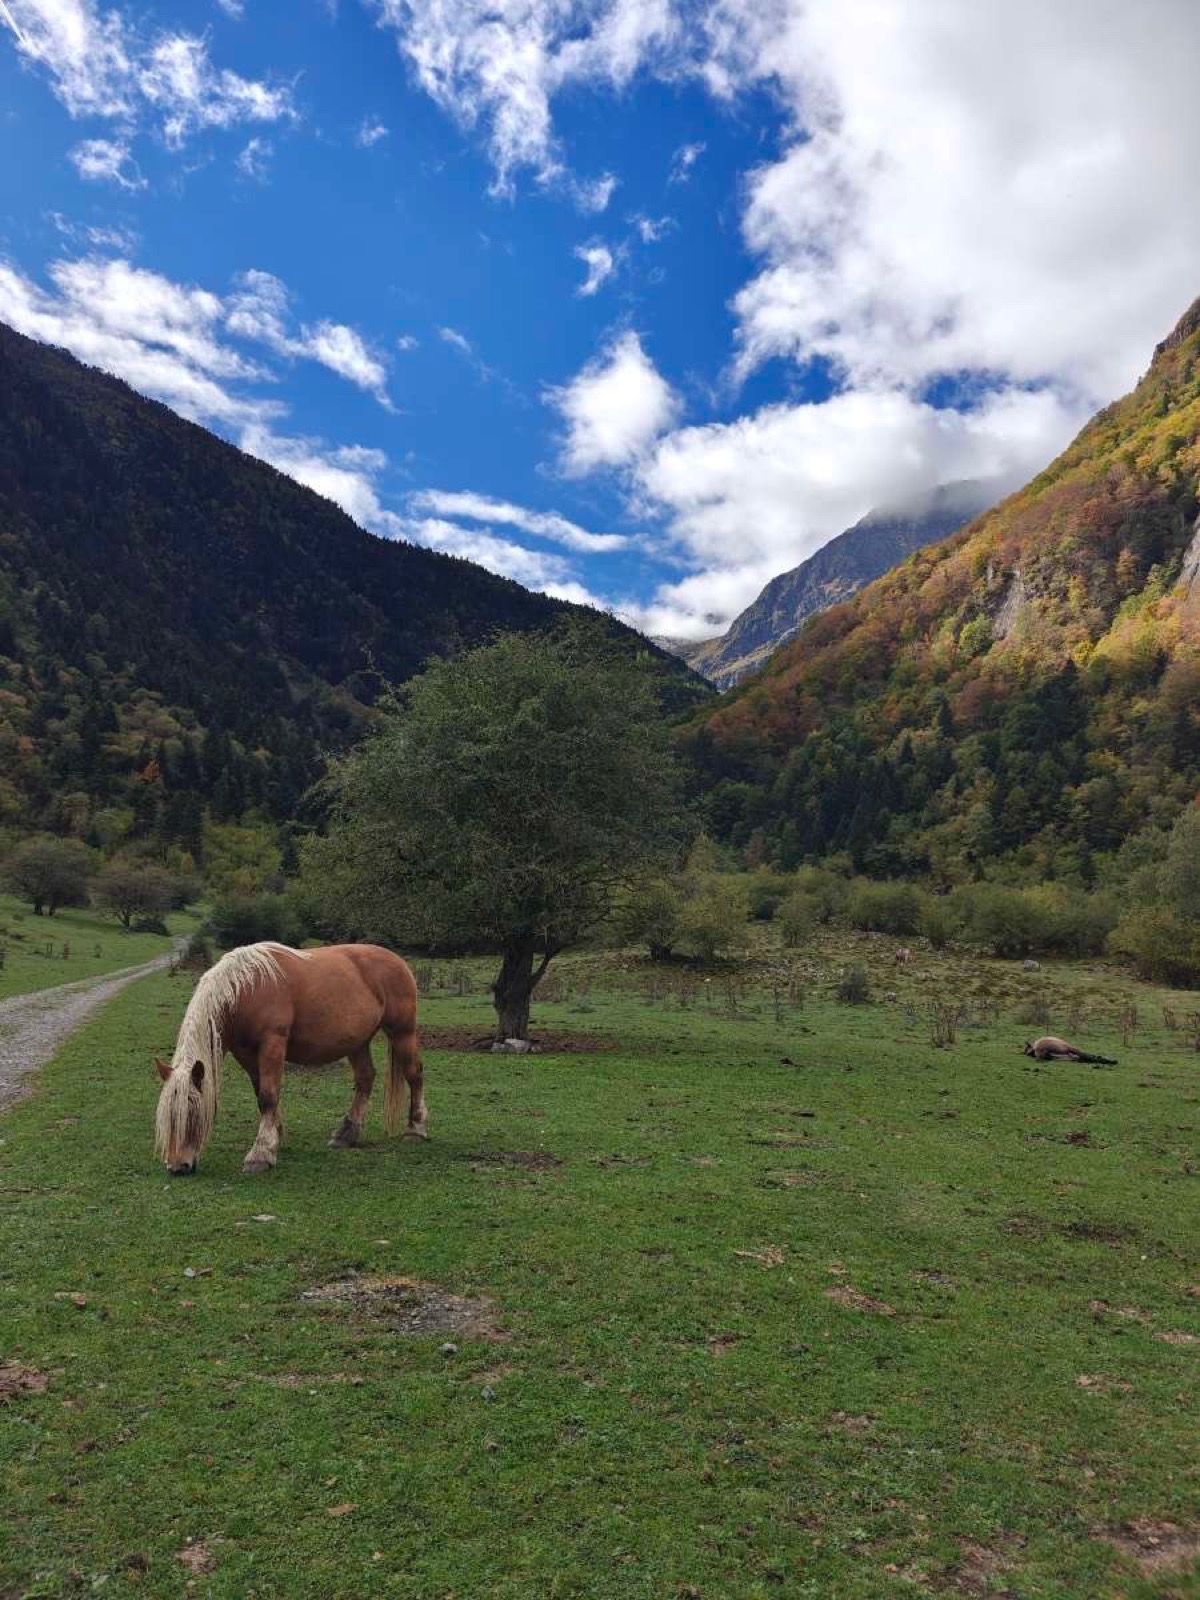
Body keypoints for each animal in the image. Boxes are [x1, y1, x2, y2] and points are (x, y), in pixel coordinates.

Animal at [154, 942, 427, 1176]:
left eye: (191, 1112)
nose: (178, 1166)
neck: (246, 988)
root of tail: (398, 961)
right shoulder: (246, 1053)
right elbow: (261, 1095)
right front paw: (275, 1138)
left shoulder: (272, 1044)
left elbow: (268, 1096)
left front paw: (260, 1154)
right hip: (358, 1042)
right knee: (365, 1079)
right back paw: (346, 1134)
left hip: (402, 1032)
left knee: (414, 1074)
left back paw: (416, 1129)